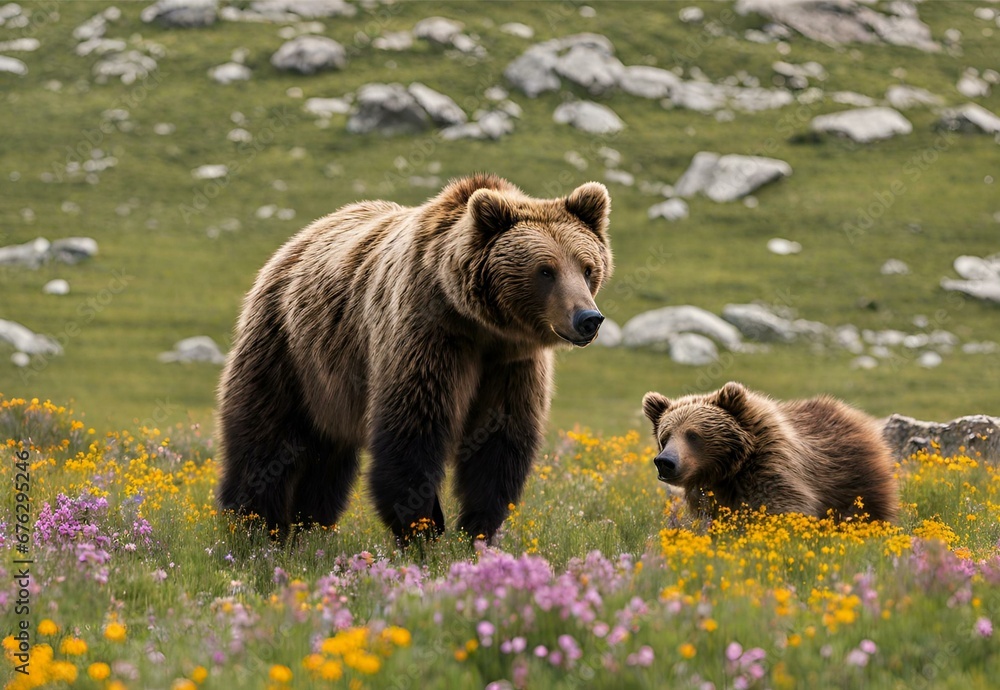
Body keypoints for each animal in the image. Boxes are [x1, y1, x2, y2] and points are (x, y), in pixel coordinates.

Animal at [216, 174, 613, 543]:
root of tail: (294, 243)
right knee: (264, 440)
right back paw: (254, 528)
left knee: (327, 463)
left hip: (328, 386)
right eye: (545, 270)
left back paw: (309, 528)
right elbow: (412, 432)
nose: (588, 318)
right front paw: (423, 531)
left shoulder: (511, 364)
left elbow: (499, 444)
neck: (479, 324)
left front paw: (477, 532)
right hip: (285, 348)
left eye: (587, 267)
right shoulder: (427, 336)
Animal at [641, 382, 898, 522]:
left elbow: (780, 506)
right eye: (665, 437)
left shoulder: (771, 467)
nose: (665, 462)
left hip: (854, 478)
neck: (729, 471)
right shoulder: (710, 493)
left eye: (693, 435)